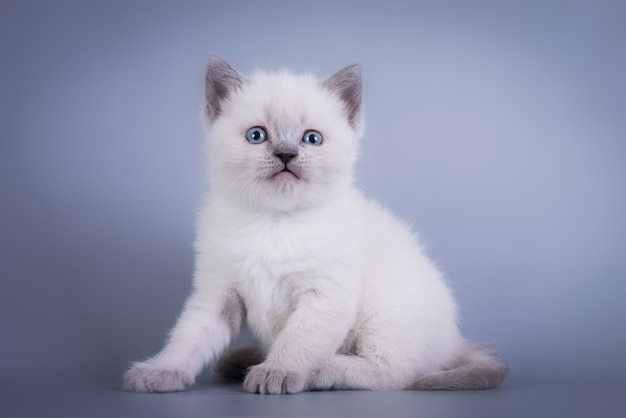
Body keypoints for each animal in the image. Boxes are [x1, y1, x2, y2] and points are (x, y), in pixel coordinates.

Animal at [122, 57, 508, 394]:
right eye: (257, 135)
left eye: (312, 139)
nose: (286, 154)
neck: (274, 222)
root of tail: (454, 343)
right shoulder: (219, 294)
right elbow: (188, 337)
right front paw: (161, 371)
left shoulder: (325, 296)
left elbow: (298, 341)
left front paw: (279, 371)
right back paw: (241, 361)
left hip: (385, 314)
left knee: (394, 372)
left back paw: (318, 370)